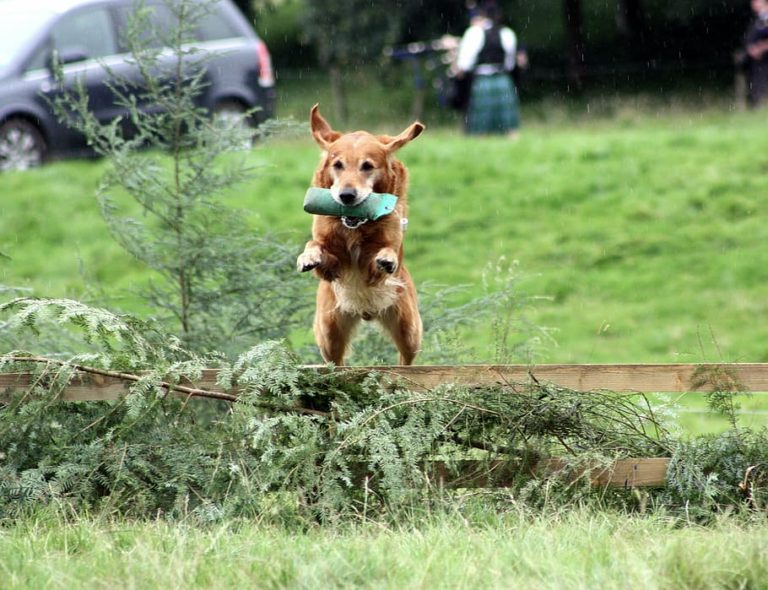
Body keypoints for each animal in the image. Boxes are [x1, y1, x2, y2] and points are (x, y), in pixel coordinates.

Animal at [296, 104, 426, 368]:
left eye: (367, 166)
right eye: (337, 165)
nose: (346, 195)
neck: (354, 227)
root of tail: (366, 313)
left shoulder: (374, 268)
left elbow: (384, 251)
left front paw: (386, 258)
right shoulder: (332, 266)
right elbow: (315, 245)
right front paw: (308, 256)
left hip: (408, 326)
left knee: (406, 358)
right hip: (329, 330)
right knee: (336, 361)